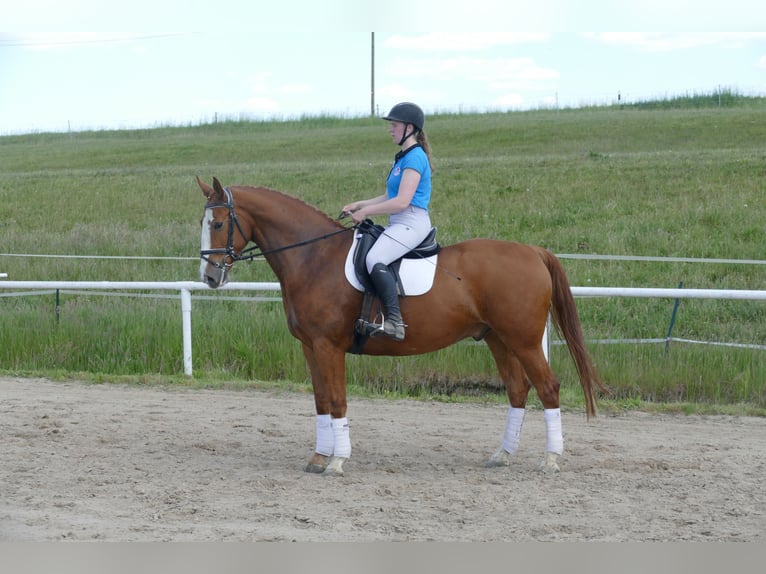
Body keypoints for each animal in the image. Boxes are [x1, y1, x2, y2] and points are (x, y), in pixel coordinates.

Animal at [197, 176, 607, 475]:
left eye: (218, 223)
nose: (210, 277)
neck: (314, 257)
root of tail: (533, 251)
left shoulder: (328, 346)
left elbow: (337, 399)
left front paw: (337, 461)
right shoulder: (309, 346)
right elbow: (321, 401)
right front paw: (318, 457)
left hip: (523, 340)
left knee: (548, 388)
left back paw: (550, 460)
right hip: (497, 339)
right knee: (518, 390)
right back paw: (502, 455)